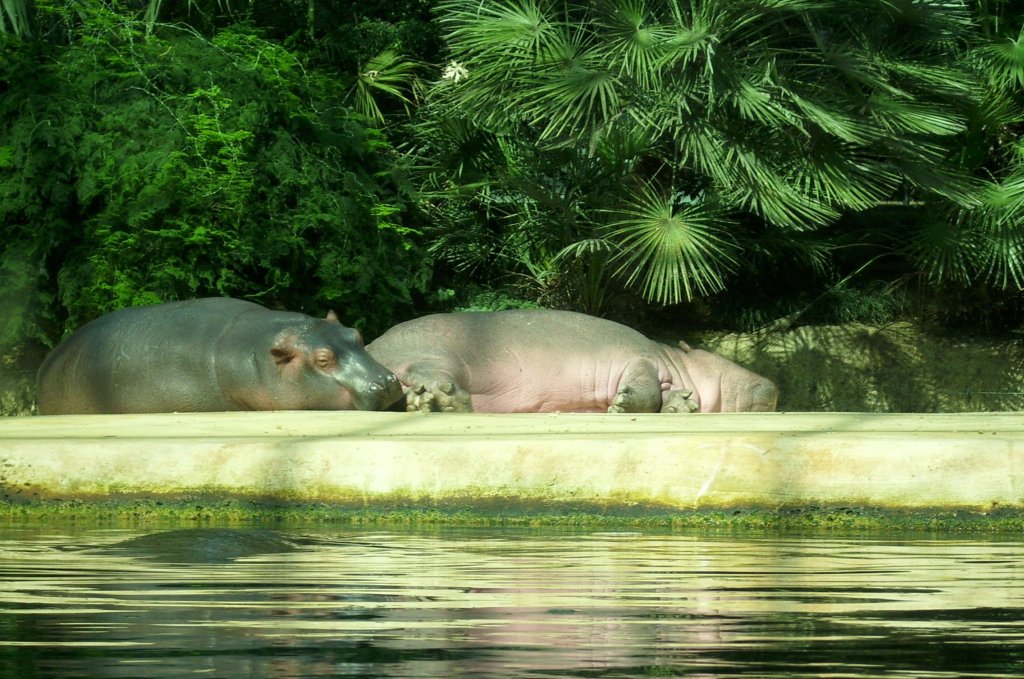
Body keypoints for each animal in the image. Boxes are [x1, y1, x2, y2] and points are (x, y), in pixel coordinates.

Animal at [366, 309, 774, 413]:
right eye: (721, 358)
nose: (773, 385)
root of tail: (372, 347)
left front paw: (680, 406)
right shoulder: (643, 360)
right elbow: (645, 390)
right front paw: (624, 405)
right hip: (441, 356)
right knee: (425, 375)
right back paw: (443, 402)